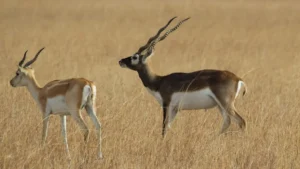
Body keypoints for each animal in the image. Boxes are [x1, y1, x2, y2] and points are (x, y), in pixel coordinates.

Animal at [118, 16, 247, 137]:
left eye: (135, 57)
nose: (121, 61)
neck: (159, 81)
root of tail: (237, 78)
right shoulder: (175, 109)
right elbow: (169, 127)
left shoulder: (167, 104)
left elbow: (164, 127)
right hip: (220, 105)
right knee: (227, 121)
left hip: (226, 103)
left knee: (241, 121)